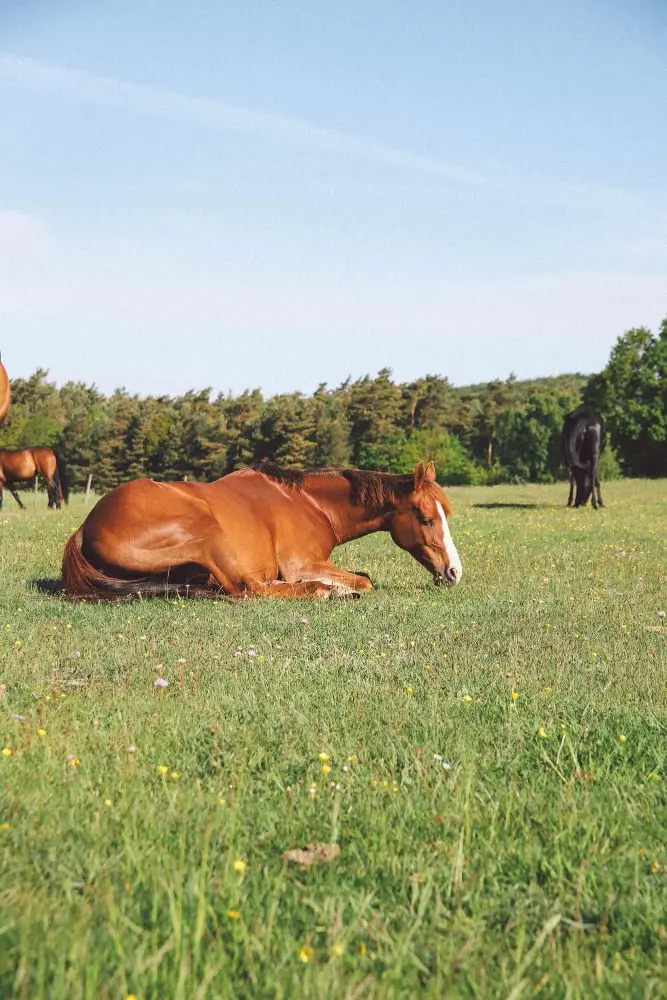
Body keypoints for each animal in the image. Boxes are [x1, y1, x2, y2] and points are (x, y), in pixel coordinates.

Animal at [62, 462, 462, 600]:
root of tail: (85, 527)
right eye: (426, 518)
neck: (308, 503)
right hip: (208, 532)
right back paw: (323, 591)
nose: (454, 571)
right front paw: (332, 586)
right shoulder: (302, 564)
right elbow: (364, 580)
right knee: (248, 589)